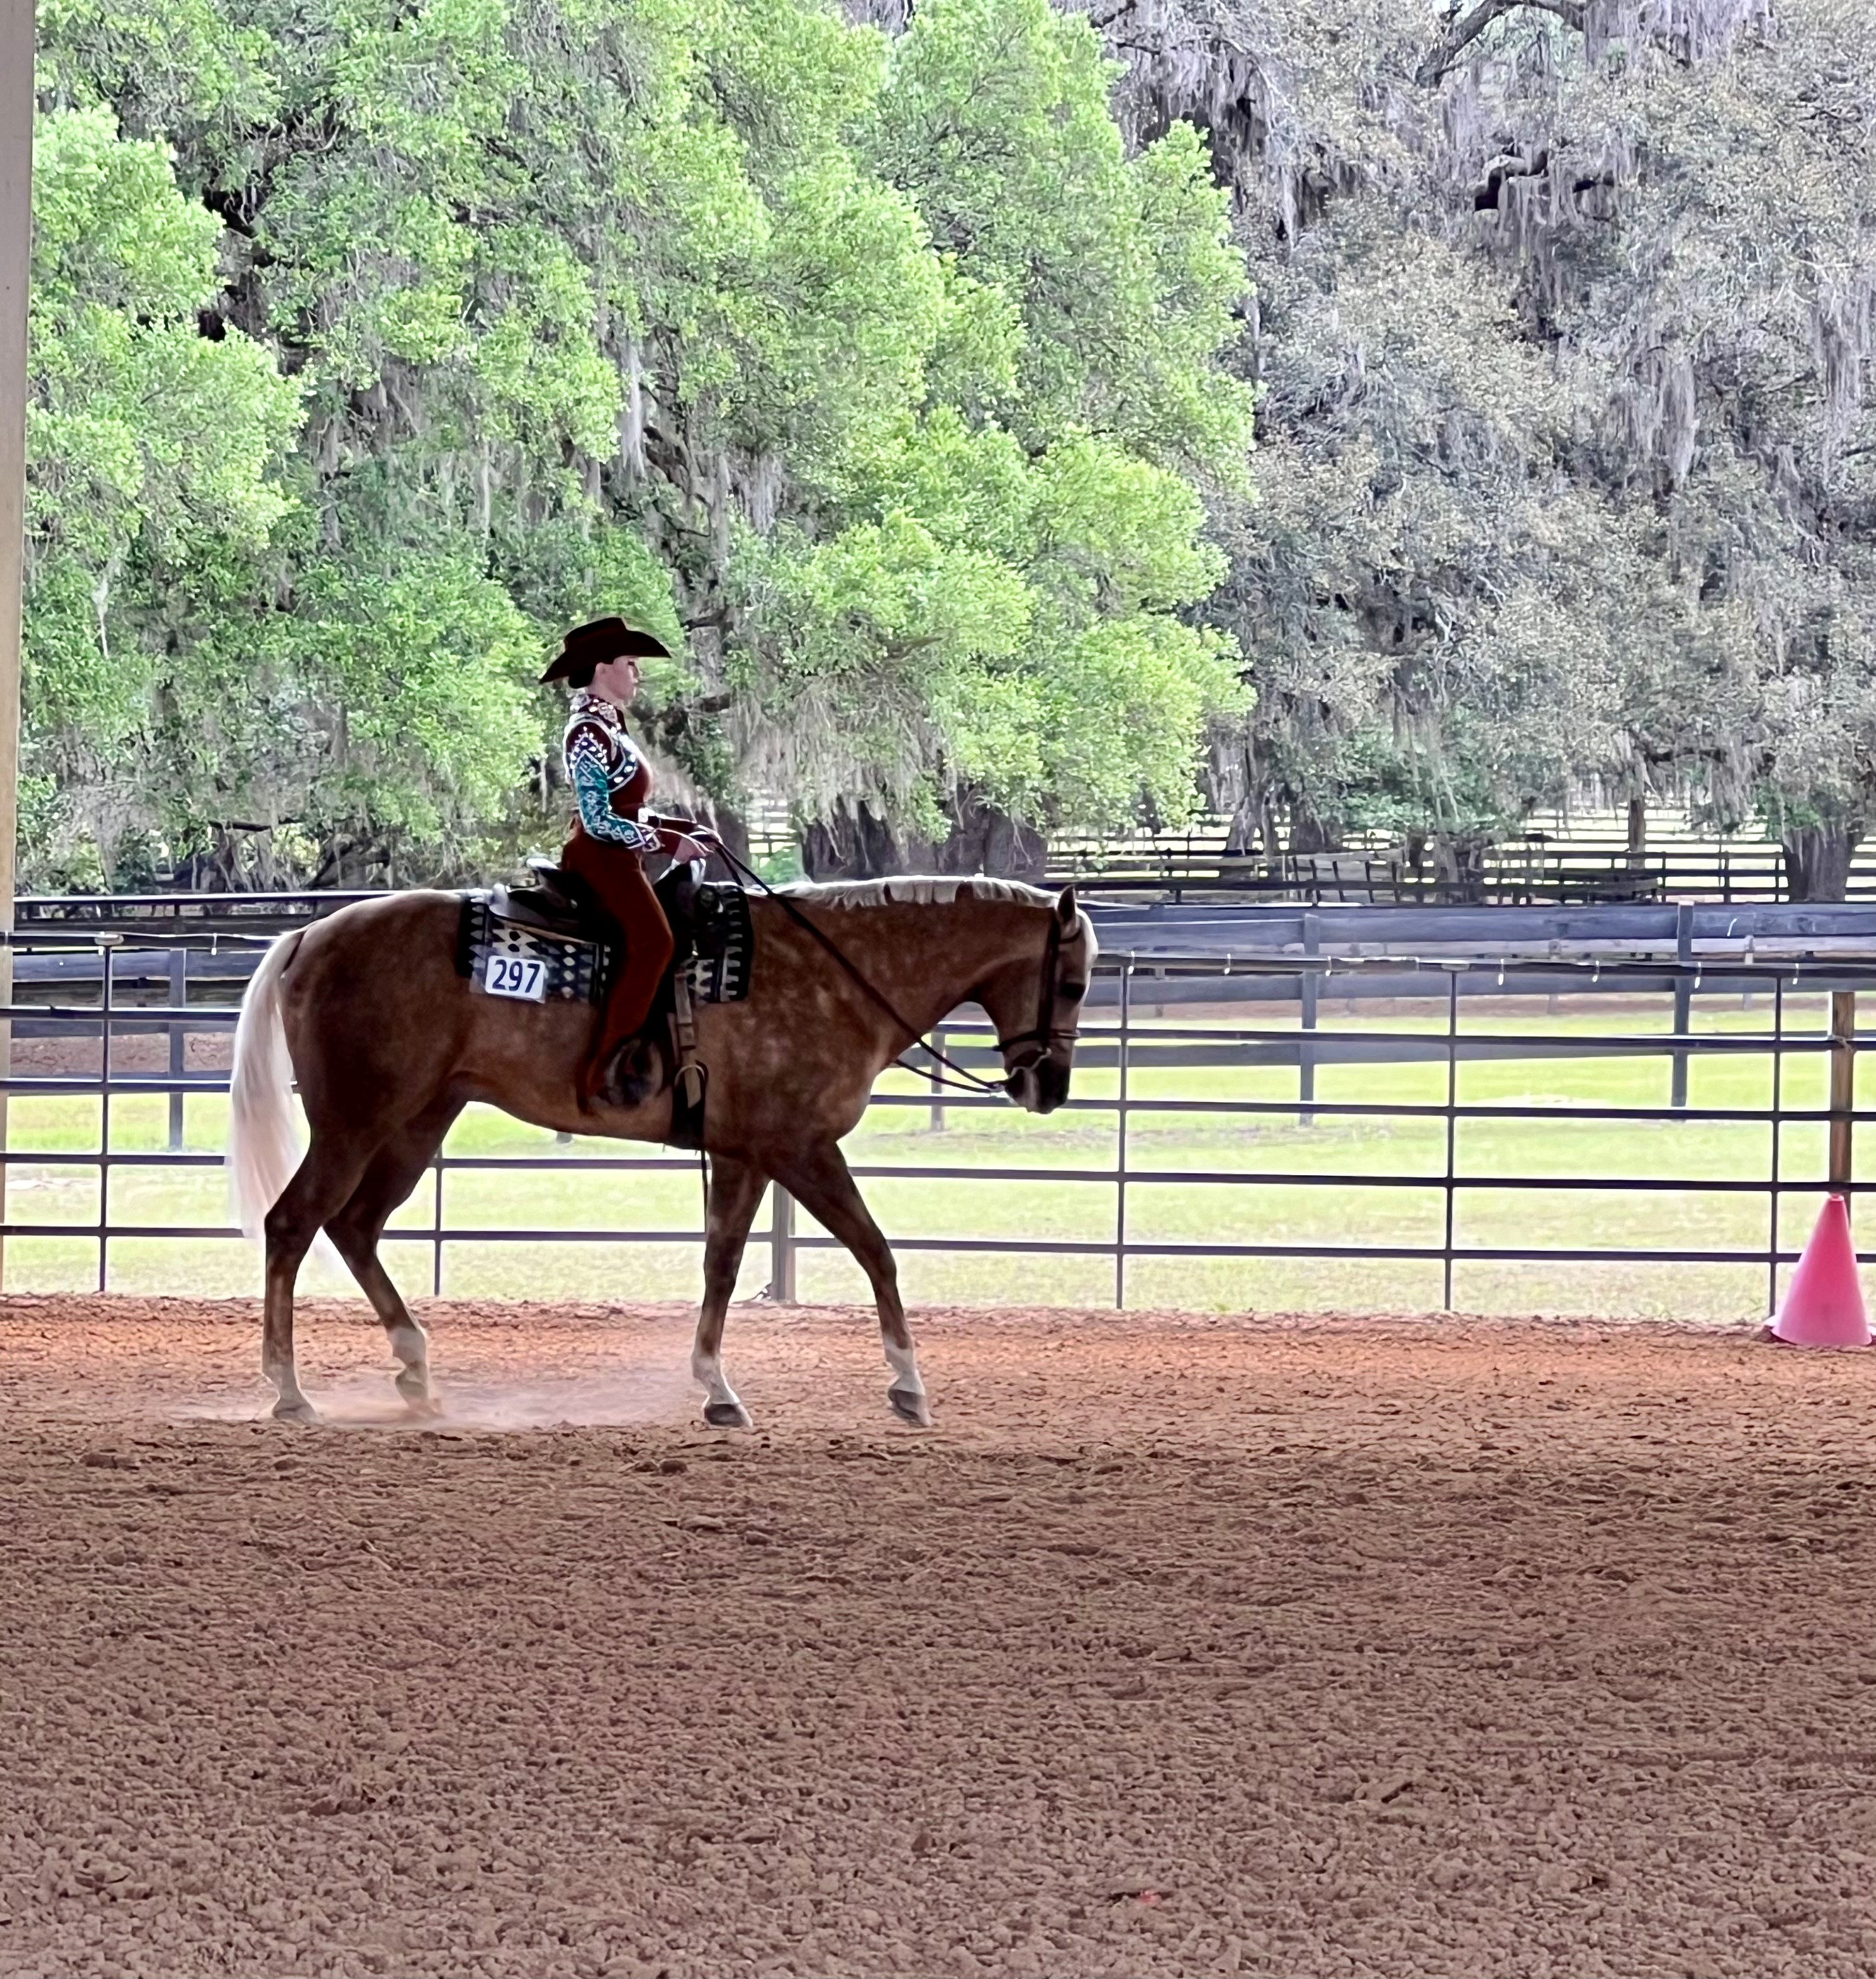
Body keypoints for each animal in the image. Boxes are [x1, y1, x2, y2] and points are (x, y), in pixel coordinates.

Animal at [227, 878, 1092, 1424]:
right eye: (1075, 983)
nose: (1047, 1085)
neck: (838, 975)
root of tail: (307, 935)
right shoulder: (800, 1146)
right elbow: (874, 1249)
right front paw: (909, 1386)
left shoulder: (744, 1153)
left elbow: (723, 1264)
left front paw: (717, 1391)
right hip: (355, 1119)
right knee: (293, 1224)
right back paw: (289, 1391)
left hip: (418, 1120)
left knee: (355, 1226)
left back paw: (414, 1372)